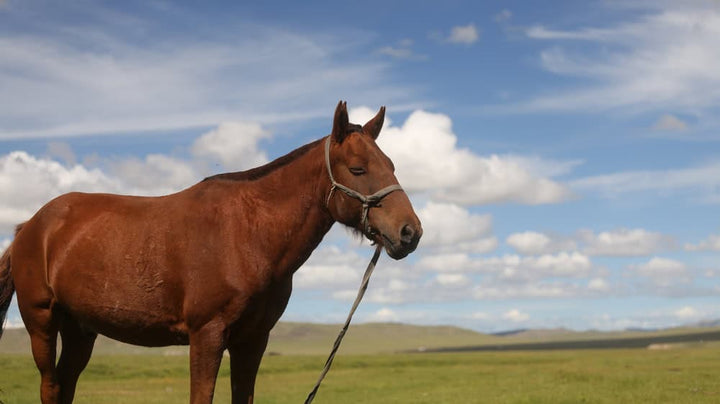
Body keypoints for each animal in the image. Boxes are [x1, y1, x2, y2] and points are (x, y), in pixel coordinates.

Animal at [0, 101, 422, 404]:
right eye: (357, 169)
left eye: (391, 164)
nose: (410, 232)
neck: (248, 234)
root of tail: (30, 227)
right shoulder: (207, 336)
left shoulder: (253, 340)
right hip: (42, 322)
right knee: (51, 386)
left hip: (80, 329)